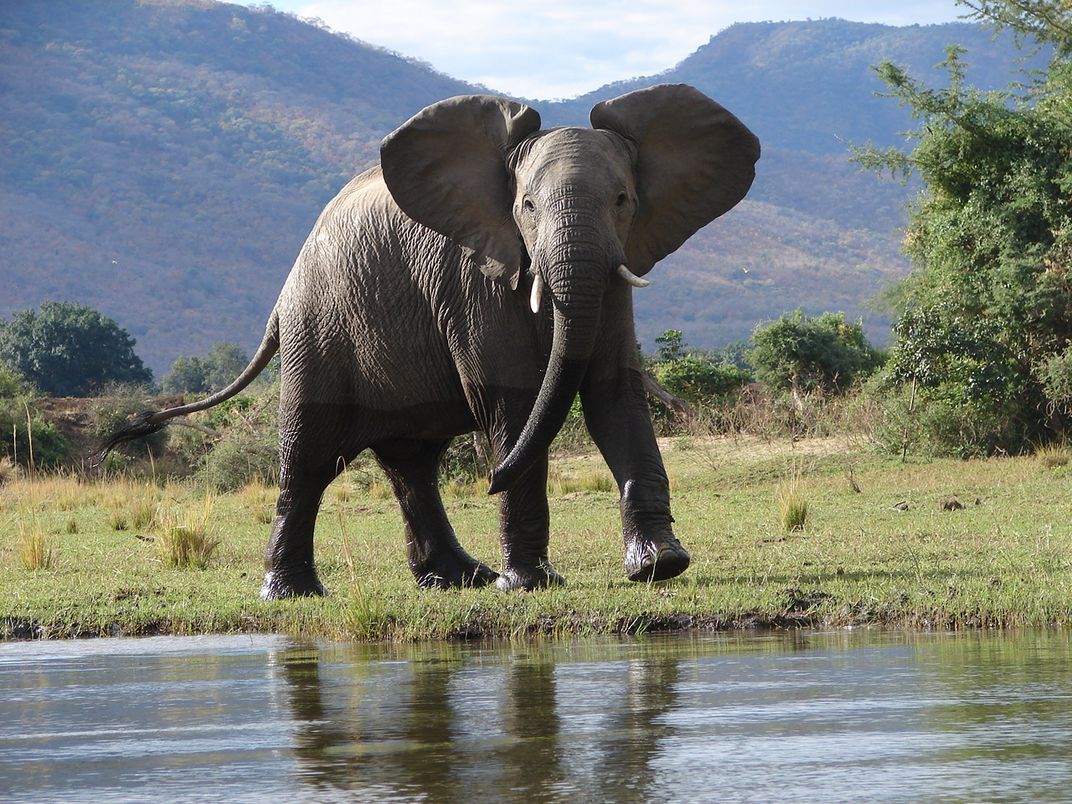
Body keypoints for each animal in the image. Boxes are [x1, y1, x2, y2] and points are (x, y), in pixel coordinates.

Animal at [101, 83, 760, 599]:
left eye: (624, 201)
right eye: (525, 205)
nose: (491, 480)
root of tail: (281, 301)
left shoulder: (618, 273)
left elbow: (614, 394)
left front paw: (661, 567)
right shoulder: (473, 280)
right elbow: (511, 401)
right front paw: (530, 584)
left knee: (411, 461)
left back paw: (459, 579)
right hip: (317, 330)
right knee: (308, 457)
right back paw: (294, 594)